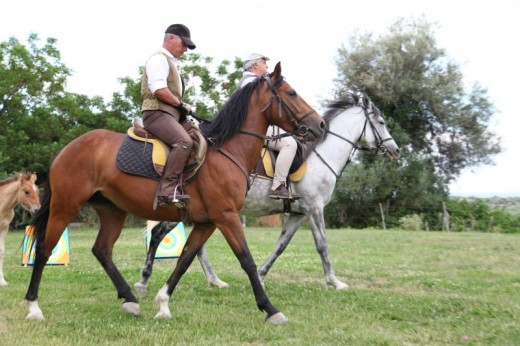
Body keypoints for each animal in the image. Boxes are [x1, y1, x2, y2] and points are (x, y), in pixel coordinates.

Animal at [26, 62, 324, 324]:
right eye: (291, 93)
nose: (320, 125)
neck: (227, 151)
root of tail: (67, 149)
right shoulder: (226, 216)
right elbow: (247, 261)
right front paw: (270, 309)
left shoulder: (207, 222)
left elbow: (185, 259)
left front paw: (163, 303)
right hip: (66, 206)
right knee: (44, 249)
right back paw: (34, 307)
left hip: (112, 210)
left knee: (102, 250)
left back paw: (130, 299)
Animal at [135, 92, 402, 292]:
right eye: (381, 123)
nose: (396, 150)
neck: (320, 155)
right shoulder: (314, 208)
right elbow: (322, 245)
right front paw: (334, 281)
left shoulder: (298, 214)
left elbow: (281, 245)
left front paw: (261, 275)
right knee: (160, 233)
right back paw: (146, 278)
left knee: (192, 244)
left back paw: (214, 280)